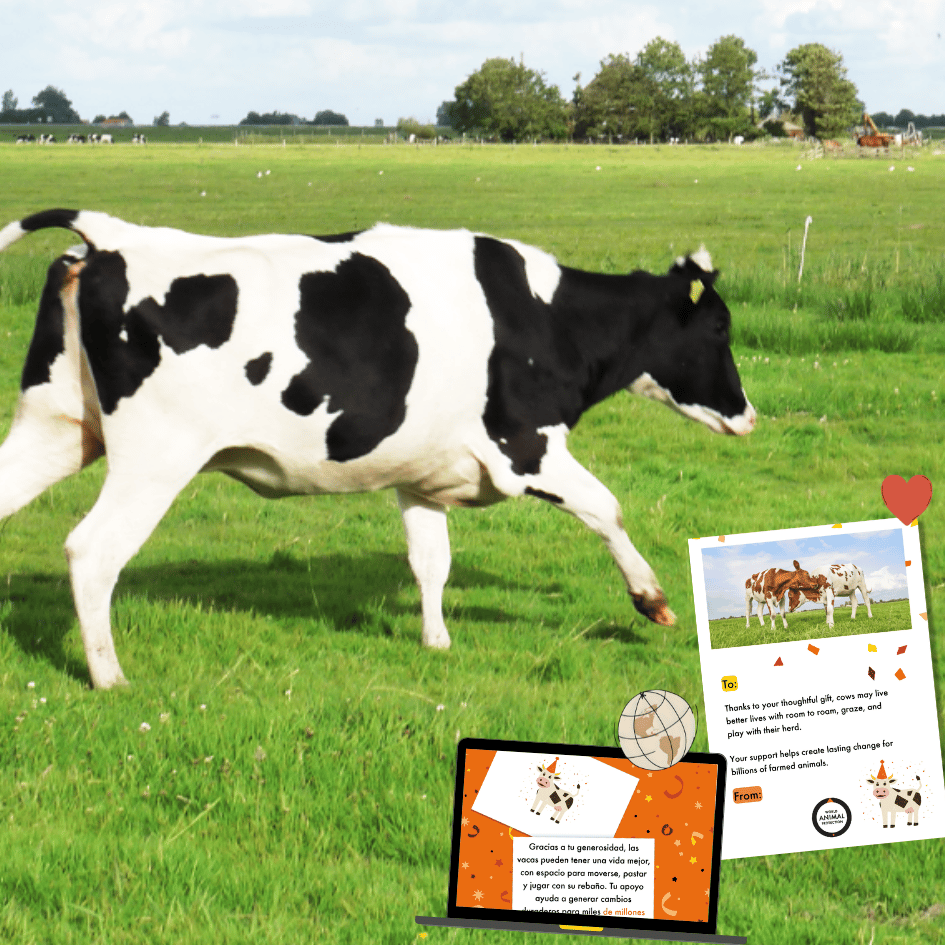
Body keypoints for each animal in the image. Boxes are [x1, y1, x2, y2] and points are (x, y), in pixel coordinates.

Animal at [0, 209, 755, 688]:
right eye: (718, 327)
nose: (747, 415)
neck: (544, 316)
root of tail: (114, 237)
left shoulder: (422, 475)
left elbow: (431, 562)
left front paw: (436, 641)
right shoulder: (526, 448)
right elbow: (607, 508)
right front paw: (651, 599)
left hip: (54, 428)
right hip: (156, 457)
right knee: (92, 551)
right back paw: (109, 675)